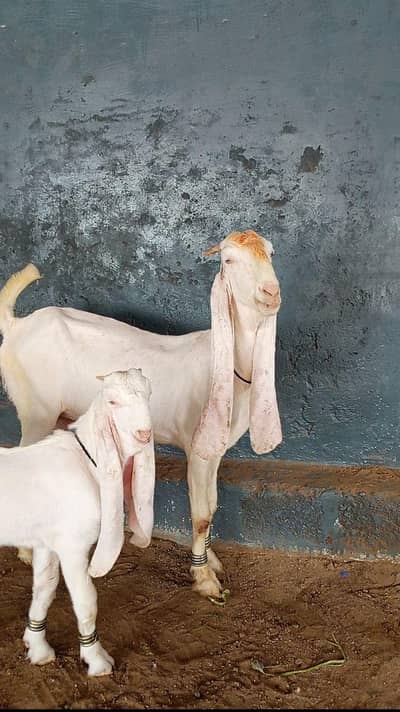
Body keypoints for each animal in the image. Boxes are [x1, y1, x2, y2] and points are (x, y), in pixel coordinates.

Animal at [0, 229, 282, 600]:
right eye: (229, 260)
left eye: (271, 253)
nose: (270, 292)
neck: (228, 367)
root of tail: (16, 325)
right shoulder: (196, 447)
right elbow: (200, 514)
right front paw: (204, 579)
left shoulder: (215, 450)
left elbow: (213, 505)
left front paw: (211, 561)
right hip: (35, 409)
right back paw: (27, 553)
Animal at [0, 368, 155, 676]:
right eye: (112, 402)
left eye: (149, 394)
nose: (144, 434)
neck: (87, 462)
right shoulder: (73, 546)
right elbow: (86, 601)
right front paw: (97, 661)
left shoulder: (47, 541)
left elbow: (45, 588)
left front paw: (38, 648)